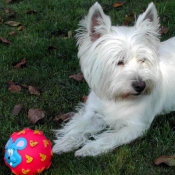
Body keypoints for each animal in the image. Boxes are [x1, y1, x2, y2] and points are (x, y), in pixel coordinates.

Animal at [52, 2, 175, 156]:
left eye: (143, 60)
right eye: (119, 62)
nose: (141, 86)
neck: (117, 97)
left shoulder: (136, 126)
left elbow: (109, 137)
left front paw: (87, 149)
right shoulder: (94, 112)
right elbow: (79, 125)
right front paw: (64, 143)